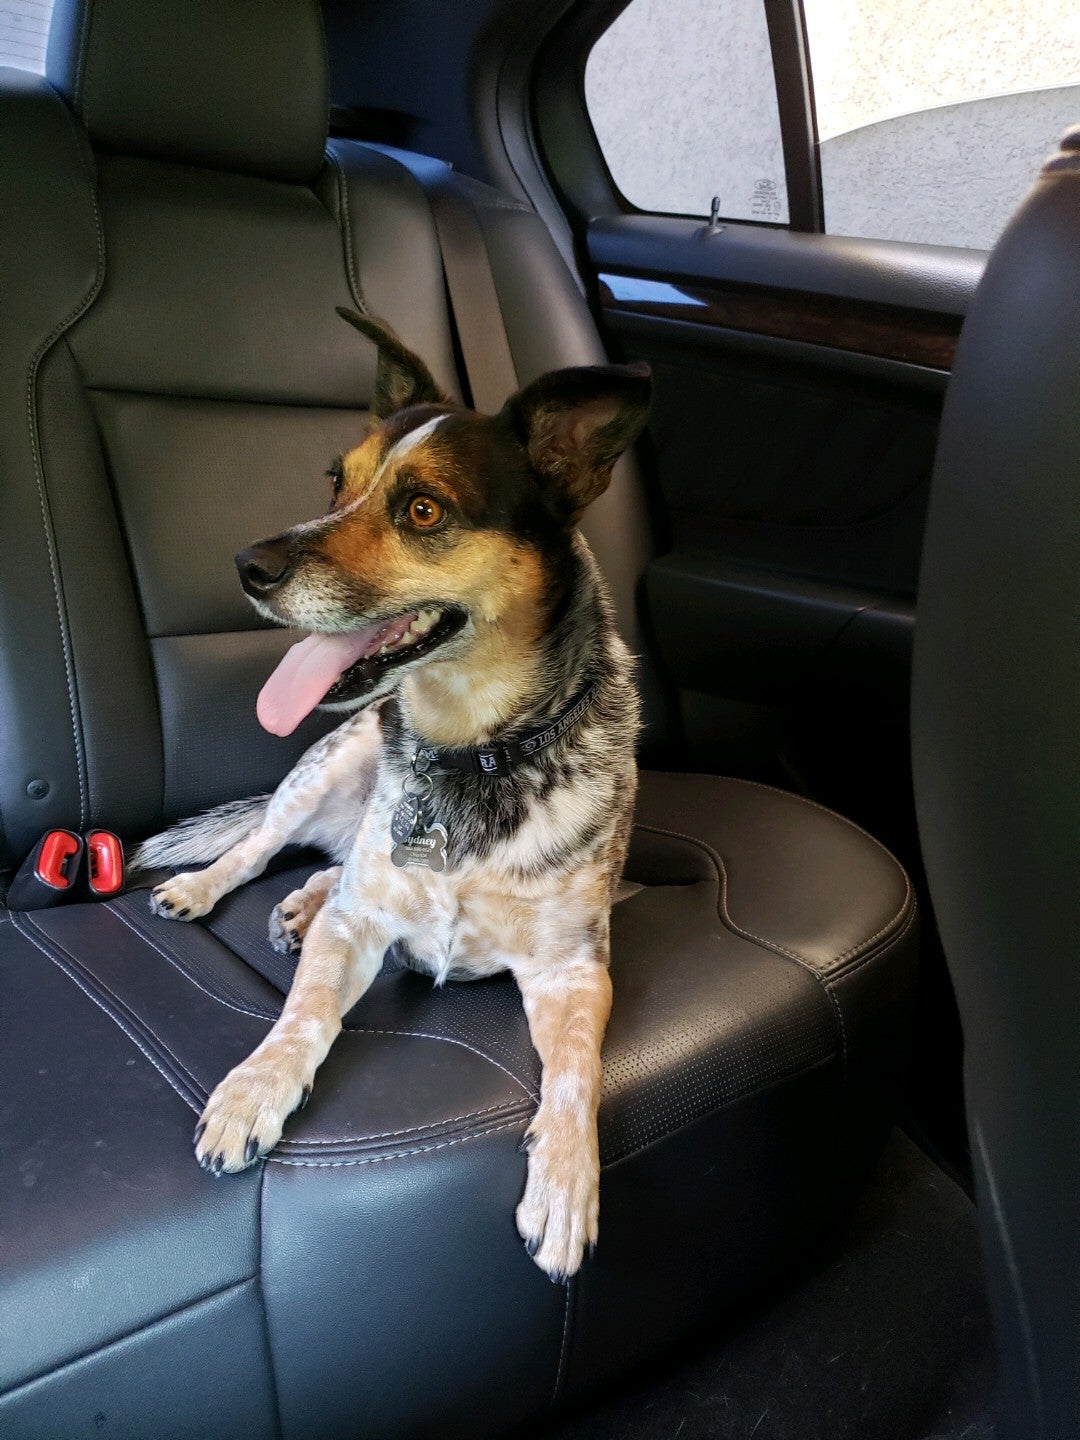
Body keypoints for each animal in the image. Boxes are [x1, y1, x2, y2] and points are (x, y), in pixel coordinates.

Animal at [131, 309, 650, 1281]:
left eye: (423, 509)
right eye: (337, 479)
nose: (247, 564)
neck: (474, 756)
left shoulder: (574, 970)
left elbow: (575, 1076)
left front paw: (566, 1185)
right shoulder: (359, 927)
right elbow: (301, 1016)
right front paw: (255, 1088)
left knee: (326, 870)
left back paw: (298, 904)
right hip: (324, 770)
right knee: (261, 845)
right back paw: (211, 887)